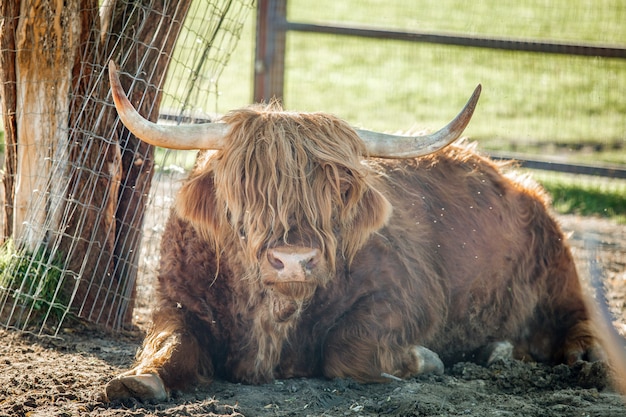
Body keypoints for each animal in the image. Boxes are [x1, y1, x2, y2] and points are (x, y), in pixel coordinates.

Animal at [105, 60, 596, 402]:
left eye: (339, 191)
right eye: (242, 189)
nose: (294, 261)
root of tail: (516, 179)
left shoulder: (405, 296)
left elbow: (345, 350)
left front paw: (424, 359)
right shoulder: (175, 300)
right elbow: (171, 343)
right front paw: (137, 380)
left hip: (560, 278)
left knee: (578, 319)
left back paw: (580, 360)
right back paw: (497, 350)